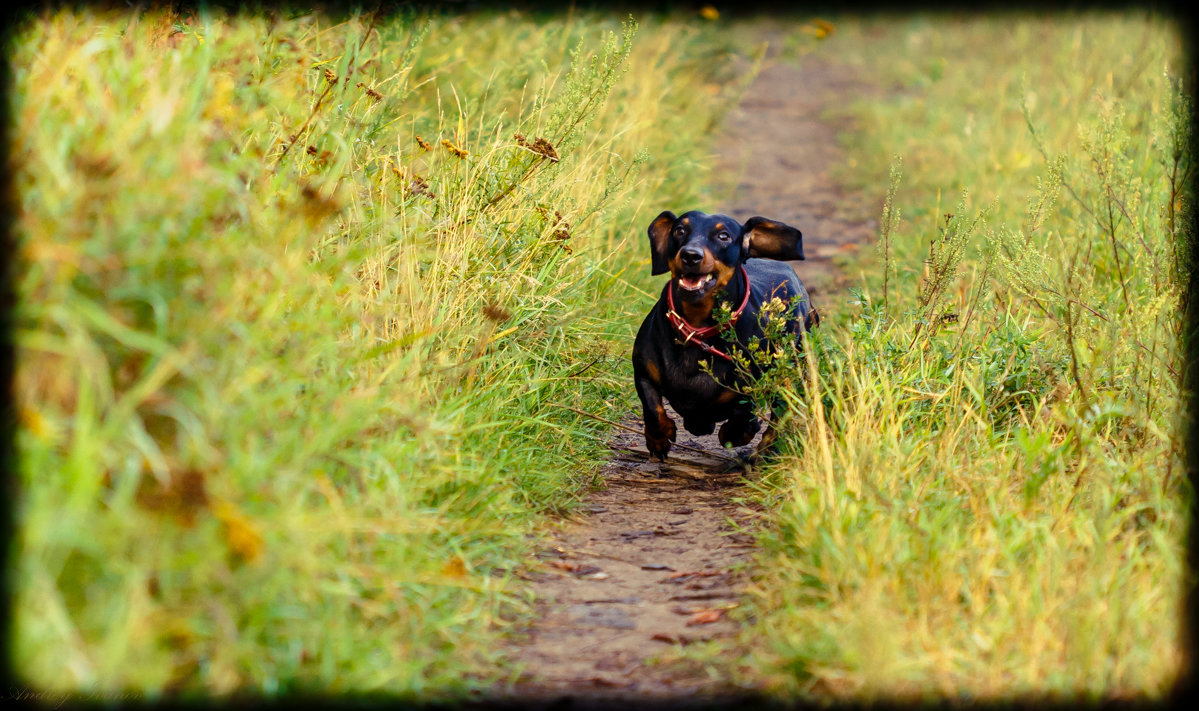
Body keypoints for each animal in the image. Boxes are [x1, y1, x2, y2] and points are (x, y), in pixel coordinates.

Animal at [633, 207, 820, 460]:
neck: (697, 330)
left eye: (724, 236)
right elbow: (652, 408)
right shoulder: (643, 371)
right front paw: (659, 440)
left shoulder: (751, 386)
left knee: (779, 414)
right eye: (679, 230)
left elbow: (743, 412)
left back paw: (764, 451)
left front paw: (736, 433)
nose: (690, 255)